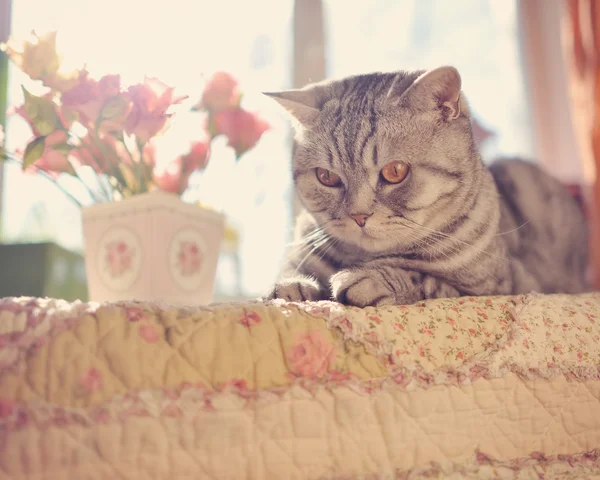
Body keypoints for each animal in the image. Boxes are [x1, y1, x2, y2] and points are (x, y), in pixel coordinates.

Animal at [262, 66, 584, 308]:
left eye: (395, 171)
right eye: (326, 177)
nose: (358, 216)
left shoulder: (504, 286)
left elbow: (426, 281)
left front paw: (369, 279)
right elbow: (291, 274)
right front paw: (291, 287)